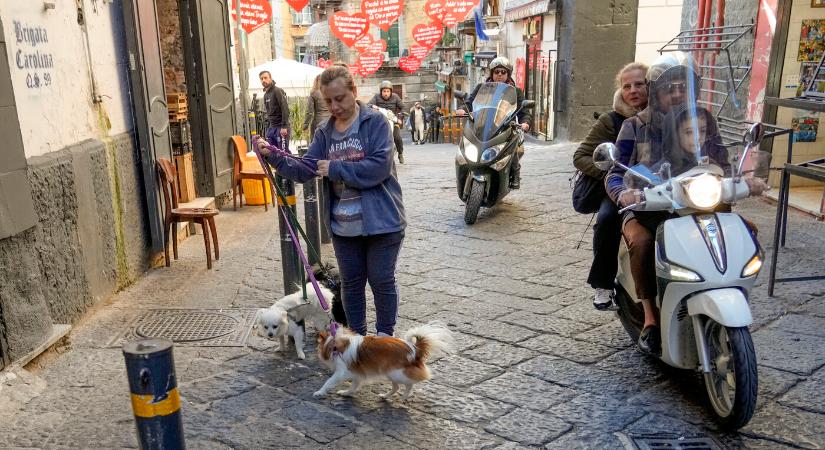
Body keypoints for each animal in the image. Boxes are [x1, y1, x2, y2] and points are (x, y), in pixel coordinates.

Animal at [310, 320, 450, 400]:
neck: (335, 344)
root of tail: (415, 349)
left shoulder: (341, 372)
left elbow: (328, 382)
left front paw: (319, 392)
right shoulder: (357, 372)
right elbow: (354, 385)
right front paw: (347, 393)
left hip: (396, 373)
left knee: (408, 384)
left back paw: (404, 397)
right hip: (390, 373)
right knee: (396, 387)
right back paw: (385, 396)